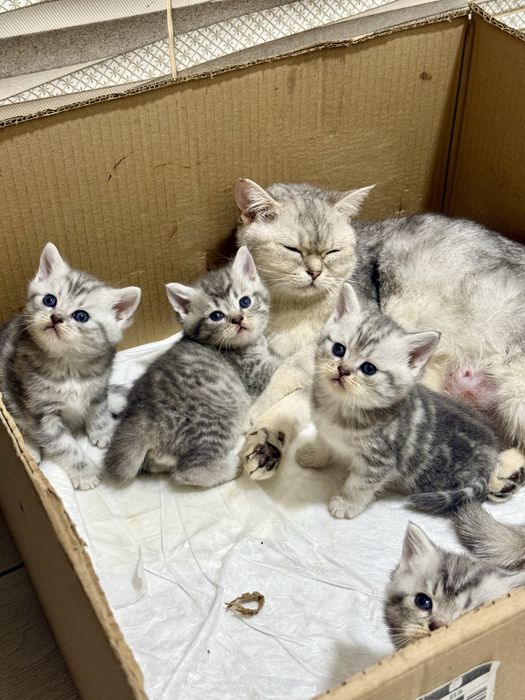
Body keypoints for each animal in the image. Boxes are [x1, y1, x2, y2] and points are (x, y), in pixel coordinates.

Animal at [0, 242, 141, 489]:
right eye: (49, 300)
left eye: (81, 316)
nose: (56, 318)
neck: (69, 367)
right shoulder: (42, 413)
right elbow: (64, 446)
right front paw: (84, 472)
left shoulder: (98, 386)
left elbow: (98, 409)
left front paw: (103, 430)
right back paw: (31, 449)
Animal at [104, 246, 280, 488]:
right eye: (217, 316)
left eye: (245, 302)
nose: (238, 319)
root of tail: (141, 418)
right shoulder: (254, 373)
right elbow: (282, 362)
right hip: (215, 420)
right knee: (187, 469)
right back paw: (231, 466)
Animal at [296, 282, 505, 519]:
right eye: (338, 349)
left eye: (368, 368)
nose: (343, 370)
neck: (340, 407)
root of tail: (492, 452)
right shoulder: (325, 430)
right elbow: (324, 443)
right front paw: (313, 455)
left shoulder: (380, 461)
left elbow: (360, 484)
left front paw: (346, 503)